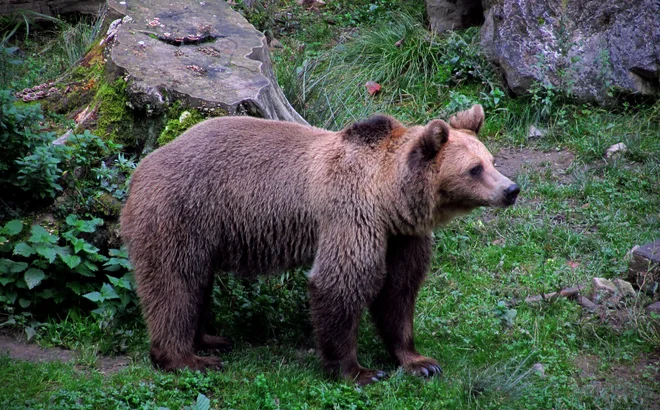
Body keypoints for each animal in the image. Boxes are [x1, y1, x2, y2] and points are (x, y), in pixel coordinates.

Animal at [120, 104, 520, 386]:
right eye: (474, 169)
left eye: (491, 160)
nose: (511, 189)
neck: (389, 197)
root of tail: (140, 169)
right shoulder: (351, 214)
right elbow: (340, 283)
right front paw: (358, 370)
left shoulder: (401, 237)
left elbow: (399, 292)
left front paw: (420, 361)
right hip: (180, 212)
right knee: (174, 283)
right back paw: (187, 358)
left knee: (197, 282)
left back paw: (210, 339)